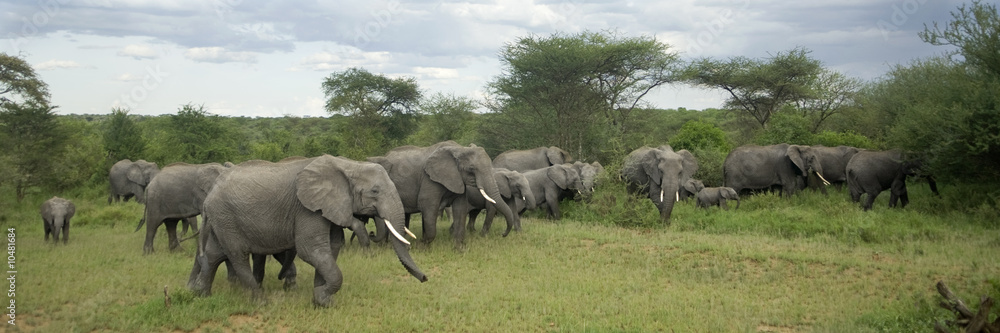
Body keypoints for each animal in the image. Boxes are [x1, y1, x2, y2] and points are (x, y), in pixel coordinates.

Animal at [189, 155, 428, 306]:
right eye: (375, 191)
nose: (425, 278)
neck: (347, 165)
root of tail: (209, 196)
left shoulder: (329, 206)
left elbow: (332, 248)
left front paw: (321, 300)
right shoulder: (306, 208)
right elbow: (310, 250)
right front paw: (323, 297)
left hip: (222, 219)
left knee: (214, 254)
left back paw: (201, 295)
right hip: (226, 217)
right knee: (237, 256)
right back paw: (261, 302)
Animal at [372, 139, 520, 245]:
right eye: (471, 169)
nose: (503, 234)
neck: (459, 149)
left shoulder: (457, 179)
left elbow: (460, 208)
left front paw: (458, 248)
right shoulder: (429, 178)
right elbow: (428, 205)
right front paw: (422, 245)